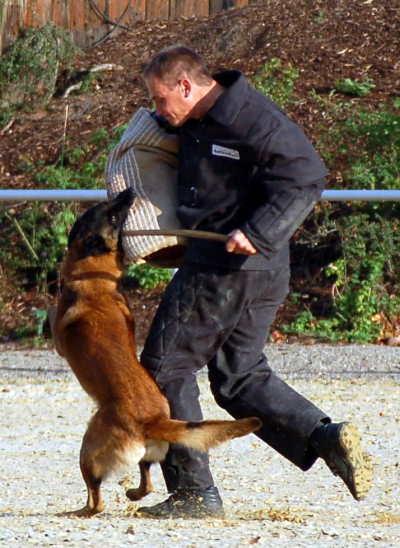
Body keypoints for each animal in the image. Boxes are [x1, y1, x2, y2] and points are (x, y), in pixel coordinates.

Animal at [53, 188, 261, 517]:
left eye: (113, 214)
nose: (128, 193)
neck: (95, 277)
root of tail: (153, 420)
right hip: (148, 454)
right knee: (147, 481)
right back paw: (133, 494)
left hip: (88, 450)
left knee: (96, 497)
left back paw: (79, 511)